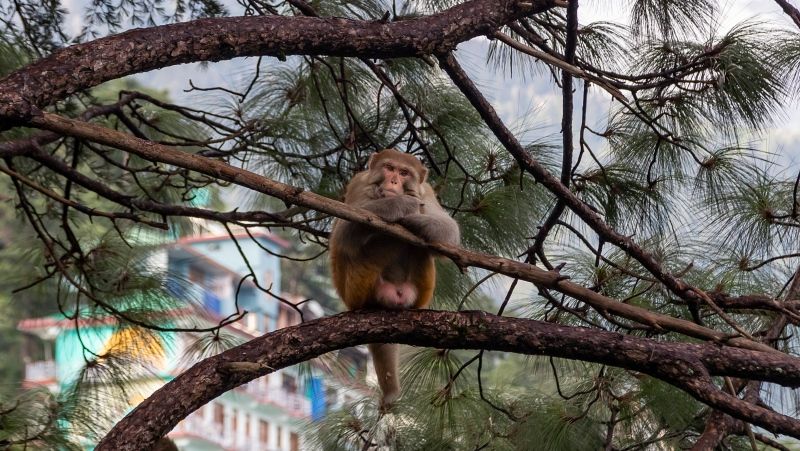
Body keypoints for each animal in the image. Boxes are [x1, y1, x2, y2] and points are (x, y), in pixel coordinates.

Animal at [329, 149, 460, 410]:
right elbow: (344, 232)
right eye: (389, 168)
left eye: (404, 172)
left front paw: (416, 217)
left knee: (421, 249)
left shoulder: (427, 191)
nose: (394, 181)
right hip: (358, 288)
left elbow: (449, 232)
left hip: (420, 291)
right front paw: (400, 205)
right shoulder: (359, 183)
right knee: (375, 242)